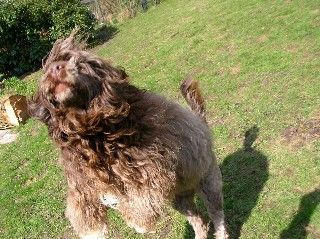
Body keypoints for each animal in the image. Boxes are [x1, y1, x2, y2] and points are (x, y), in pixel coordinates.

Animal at [28, 32, 228, 239]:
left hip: (209, 182)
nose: (55, 68)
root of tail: (202, 123)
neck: (94, 133)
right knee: (198, 220)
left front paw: (138, 220)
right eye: (47, 68)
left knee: (217, 215)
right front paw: (90, 227)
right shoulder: (80, 172)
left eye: (79, 64)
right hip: (180, 198)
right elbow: (79, 197)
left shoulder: (154, 163)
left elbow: (143, 193)